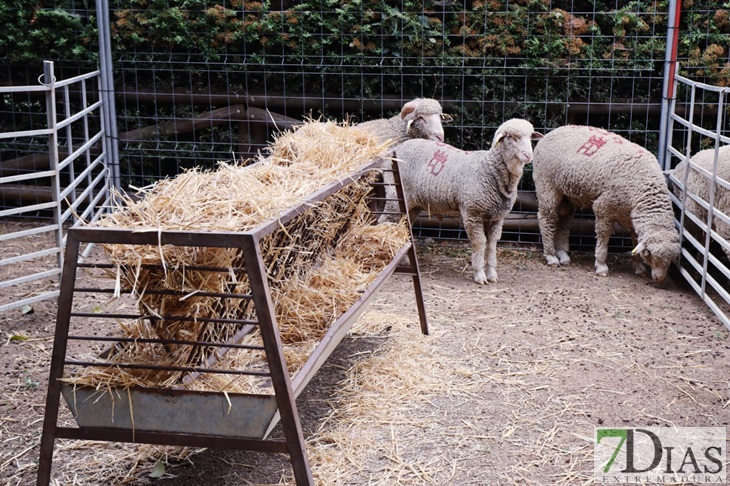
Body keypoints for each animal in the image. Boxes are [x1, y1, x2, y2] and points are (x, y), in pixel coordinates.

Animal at [378, 118, 536, 284]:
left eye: (530, 137)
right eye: (511, 137)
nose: (528, 155)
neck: (489, 169)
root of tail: (395, 149)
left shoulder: (497, 217)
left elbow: (492, 244)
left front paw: (492, 273)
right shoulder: (472, 213)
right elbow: (480, 243)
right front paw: (479, 275)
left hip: (412, 203)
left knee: (403, 225)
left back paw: (403, 259)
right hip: (394, 195)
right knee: (384, 221)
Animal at [528, 125, 680, 282]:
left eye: (671, 259)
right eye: (649, 254)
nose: (659, 279)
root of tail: (547, 135)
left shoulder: (630, 216)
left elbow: (635, 239)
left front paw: (638, 267)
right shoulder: (604, 206)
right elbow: (604, 235)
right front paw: (601, 266)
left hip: (566, 196)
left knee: (563, 220)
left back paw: (563, 255)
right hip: (547, 185)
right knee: (546, 218)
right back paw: (551, 256)